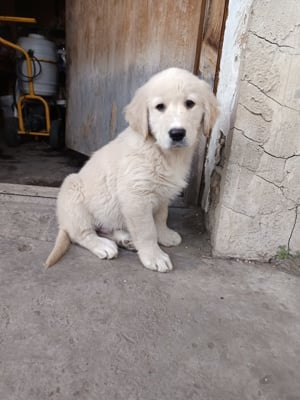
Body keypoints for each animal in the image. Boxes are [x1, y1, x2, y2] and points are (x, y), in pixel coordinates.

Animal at [44, 68, 218, 272]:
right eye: (160, 107)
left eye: (190, 103)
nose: (177, 133)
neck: (160, 151)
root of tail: (63, 223)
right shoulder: (136, 197)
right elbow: (147, 231)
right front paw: (154, 256)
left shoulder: (162, 194)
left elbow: (161, 217)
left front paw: (165, 236)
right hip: (73, 192)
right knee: (81, 233)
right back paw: (103, 245)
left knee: (107, 228)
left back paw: (125, 240)